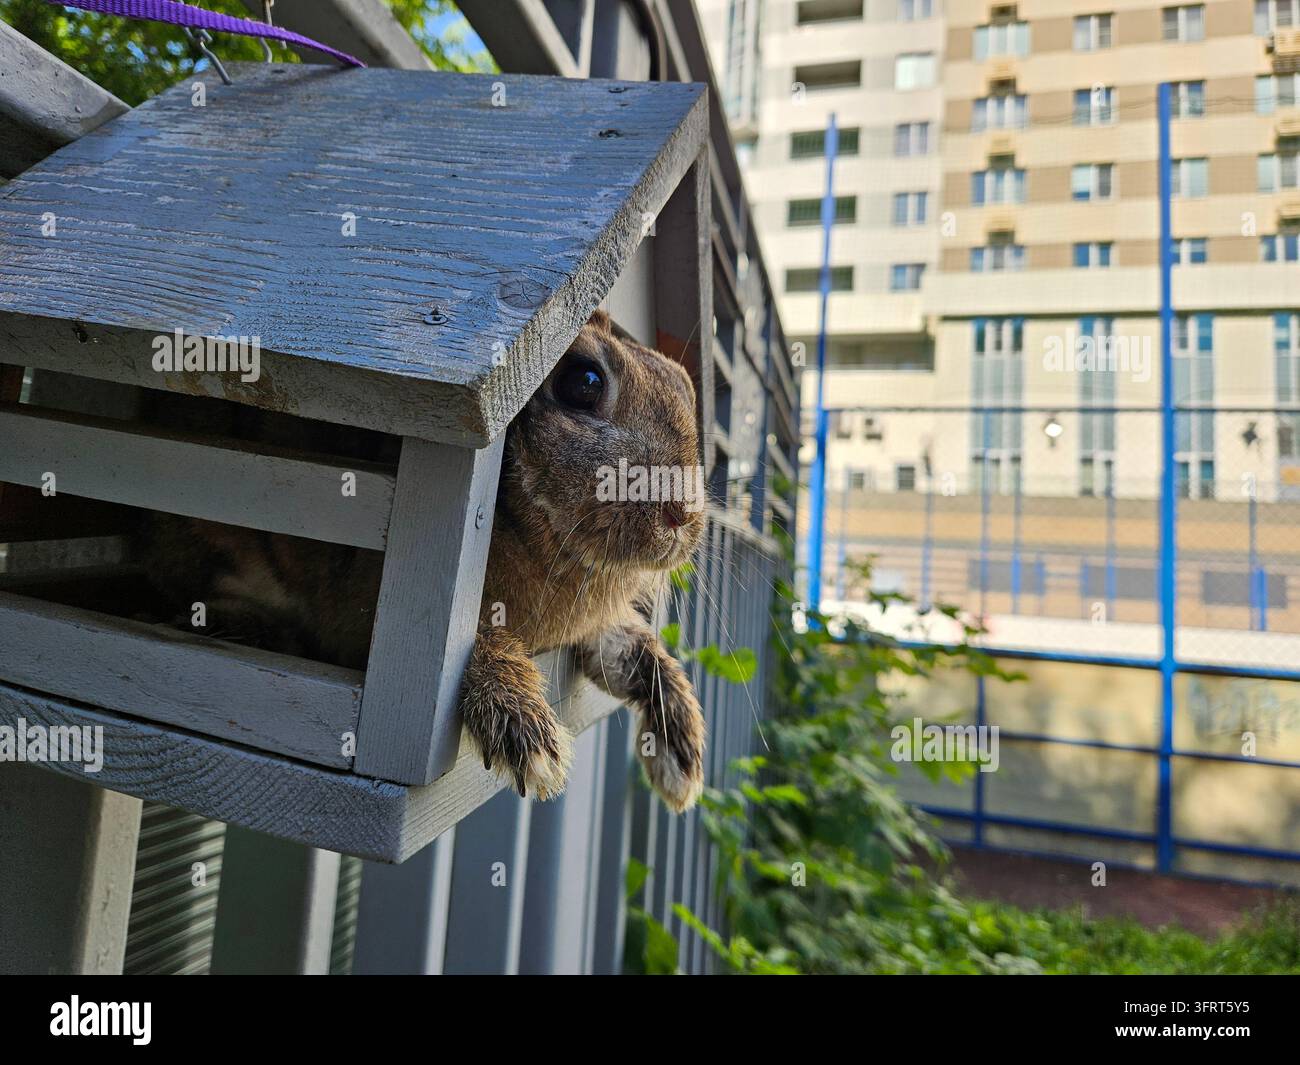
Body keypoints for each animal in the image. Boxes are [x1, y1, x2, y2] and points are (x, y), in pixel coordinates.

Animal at [136, 309, 708, 812]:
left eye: (684, 385)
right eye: (583, 382)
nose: (681, 513)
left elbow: (637, 652)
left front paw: (681, 767)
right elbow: (460, 645)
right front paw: (535, 747)